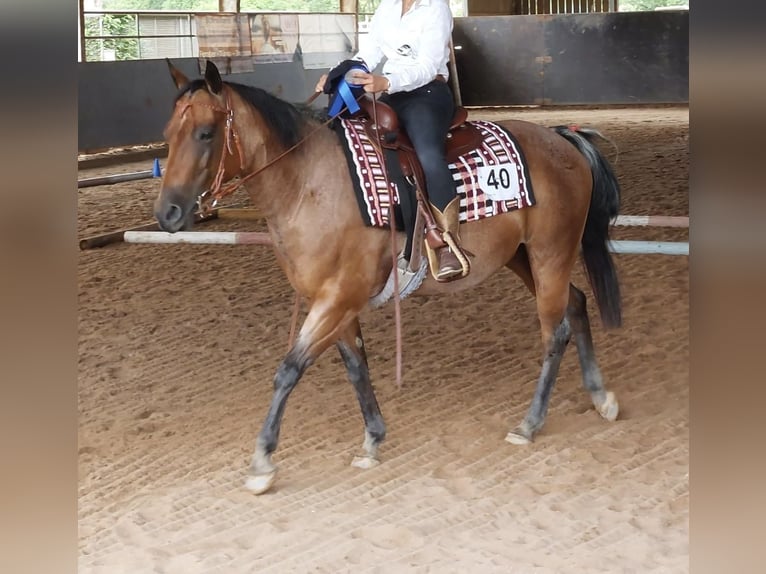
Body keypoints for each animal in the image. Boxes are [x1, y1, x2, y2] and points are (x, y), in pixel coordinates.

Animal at [155, 60, 622, 495]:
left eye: (206, 133)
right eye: (168, 133)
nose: (168, 213)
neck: (309, 183)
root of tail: (562, 138)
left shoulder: (338, 297)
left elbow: (289, 368)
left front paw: (262, 462)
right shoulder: (333, 302)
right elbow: (355, 366)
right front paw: (373, 439)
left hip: (551, 252)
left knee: (554, 333)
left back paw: (530, 423)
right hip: (524, 258)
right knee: (576, 303)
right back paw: (601, 397)